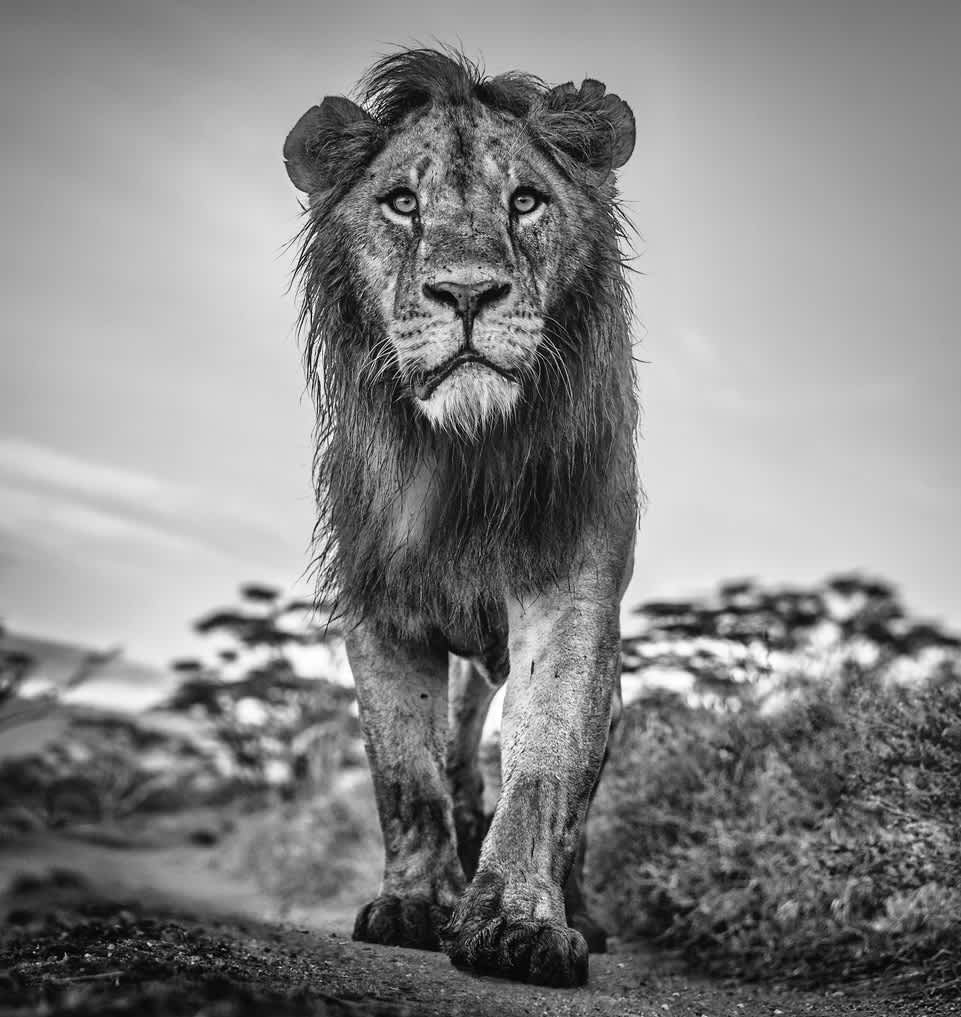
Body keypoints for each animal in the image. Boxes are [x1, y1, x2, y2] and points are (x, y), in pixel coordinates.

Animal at [284, 48, 638, 988]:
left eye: (526, 201)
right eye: (402, 202)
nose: (467, 292)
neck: (464, 458)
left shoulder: (570, 591)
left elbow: (545, 765)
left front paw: (517, 918)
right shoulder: (377, 605)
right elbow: (405, 773)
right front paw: (414, 904)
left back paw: (582, 912)